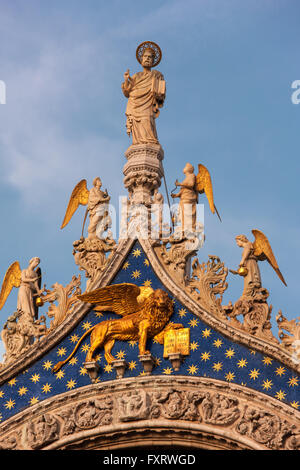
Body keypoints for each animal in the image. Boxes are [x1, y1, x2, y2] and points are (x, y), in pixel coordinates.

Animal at [52, 280, 183, 372]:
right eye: (157, 298)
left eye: (164, 297)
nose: (162, 303)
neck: (155, 313)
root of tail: (97, 325)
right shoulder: (143, 330)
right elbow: (142, 342)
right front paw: (144, 353)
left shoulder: (156, 333)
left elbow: (164, 333)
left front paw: (176, 326)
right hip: (99, 338)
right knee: (90, 349)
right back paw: (90, 361)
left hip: (110, 341)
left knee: (106, 353)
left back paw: (115, 361)